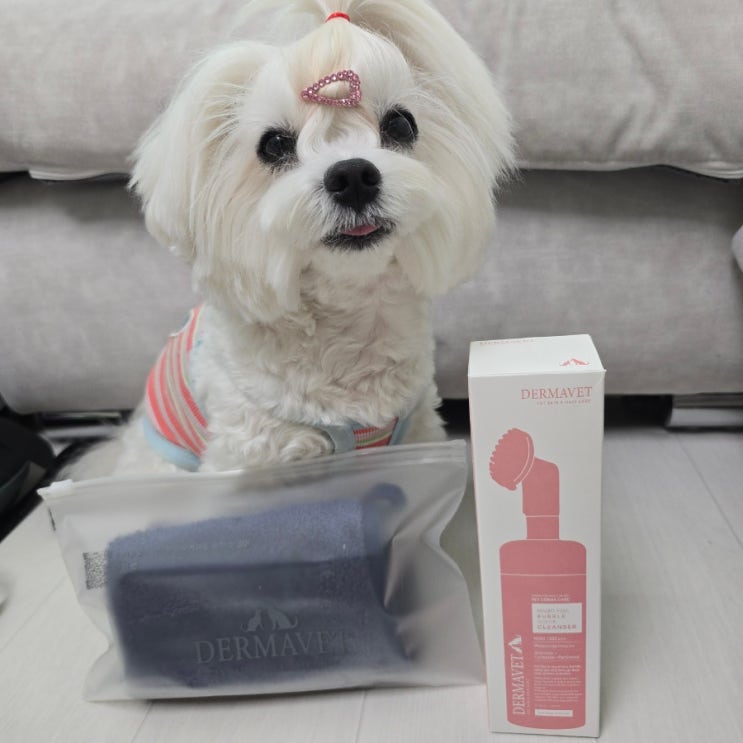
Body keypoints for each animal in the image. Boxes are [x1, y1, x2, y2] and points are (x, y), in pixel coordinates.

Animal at [68, 0, 513, 478]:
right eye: (274, 144)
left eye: (400, 125)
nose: (352, 175)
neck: (349, 324)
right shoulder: (254, 451)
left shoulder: (416, 434)